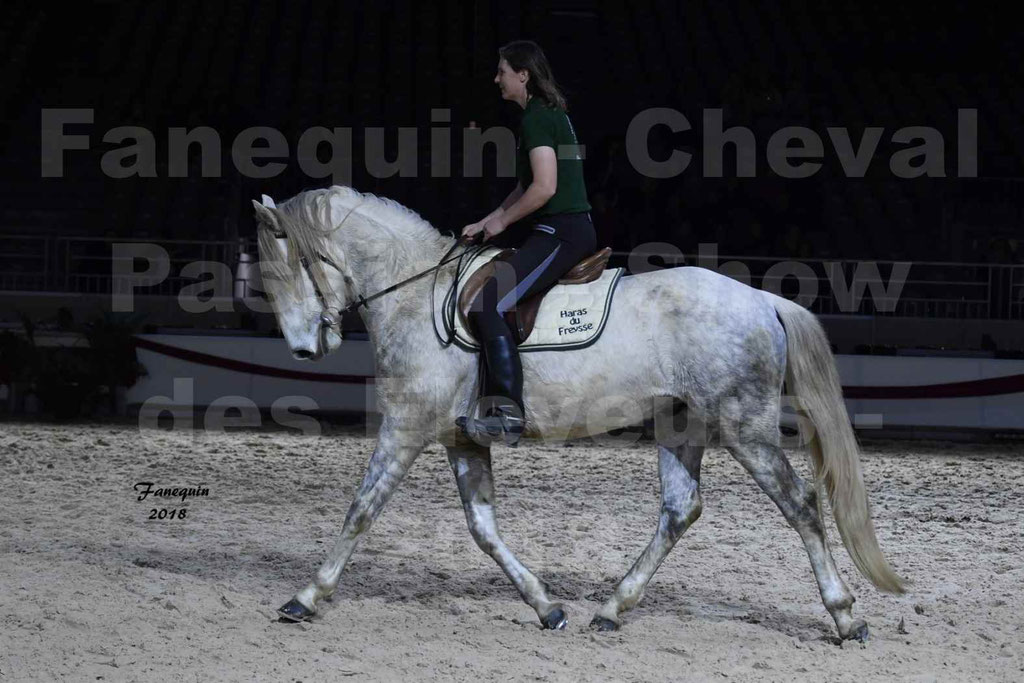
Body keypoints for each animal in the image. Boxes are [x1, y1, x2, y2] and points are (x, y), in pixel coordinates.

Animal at [253, 184, 905, 638]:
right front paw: (547, 607)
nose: (303, 349)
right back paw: (613, 608)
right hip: (681, 423)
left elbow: (361, 510)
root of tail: (763, 299)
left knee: (800, 505)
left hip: (746, 428)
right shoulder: (460, 438)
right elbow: (483, 528)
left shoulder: (406, 426)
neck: (415, 291)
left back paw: (846, 618)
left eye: (287, 269)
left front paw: (305, 597)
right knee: (681, 509)